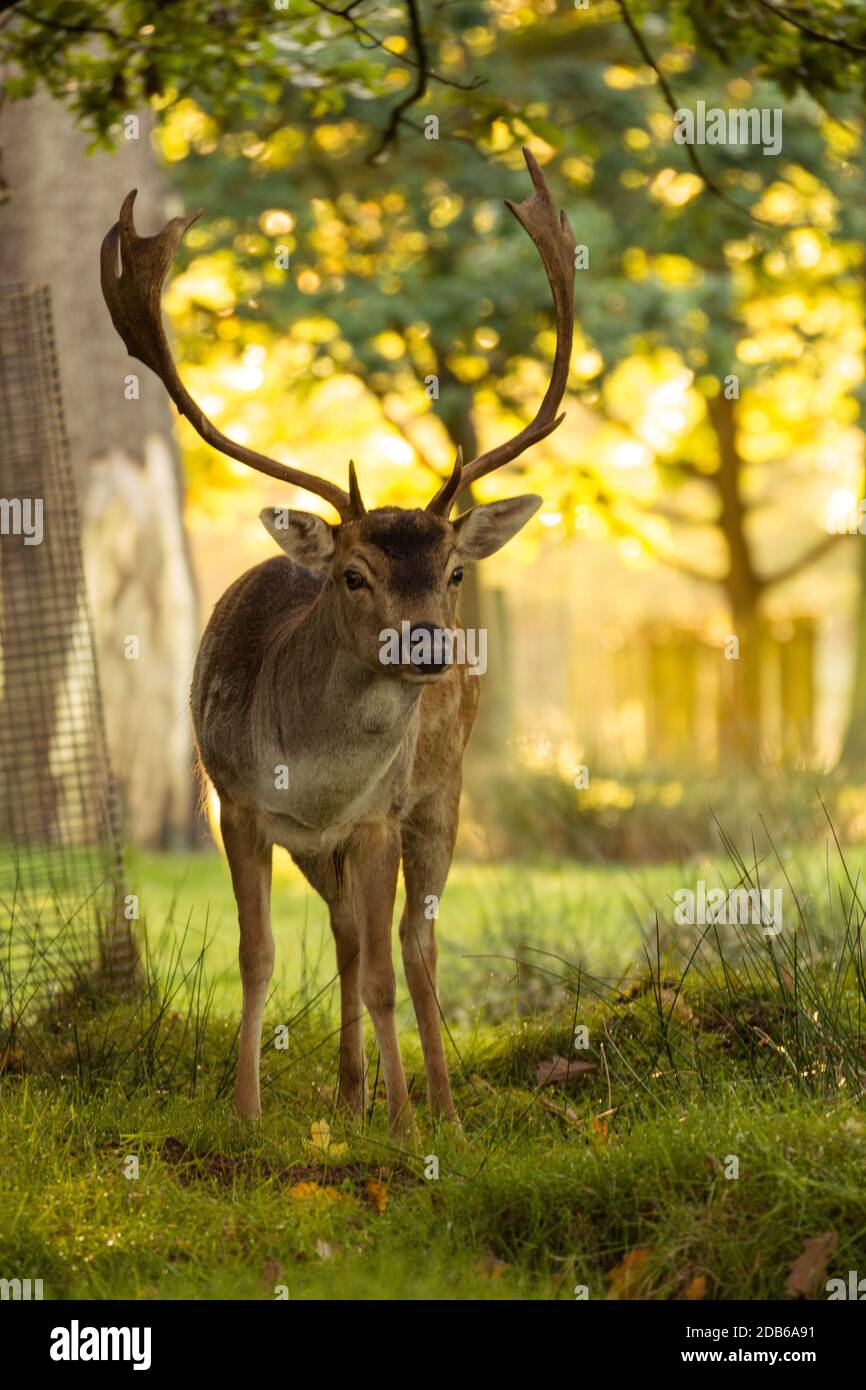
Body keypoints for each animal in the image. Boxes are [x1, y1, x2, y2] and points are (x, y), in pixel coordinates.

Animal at [100, 149, 575, 1138]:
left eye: (454, 572)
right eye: (353, 575)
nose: (430, 647)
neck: (312, 777)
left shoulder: (377, 816)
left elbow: (392, 968)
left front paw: (407, 1126)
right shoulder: (235, 805)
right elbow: (259, 956)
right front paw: (246, 1111)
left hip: (444, 792)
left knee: (413, 941)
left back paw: (439, 1107)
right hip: (322, 849)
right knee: (349, 936)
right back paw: (352, 1095)